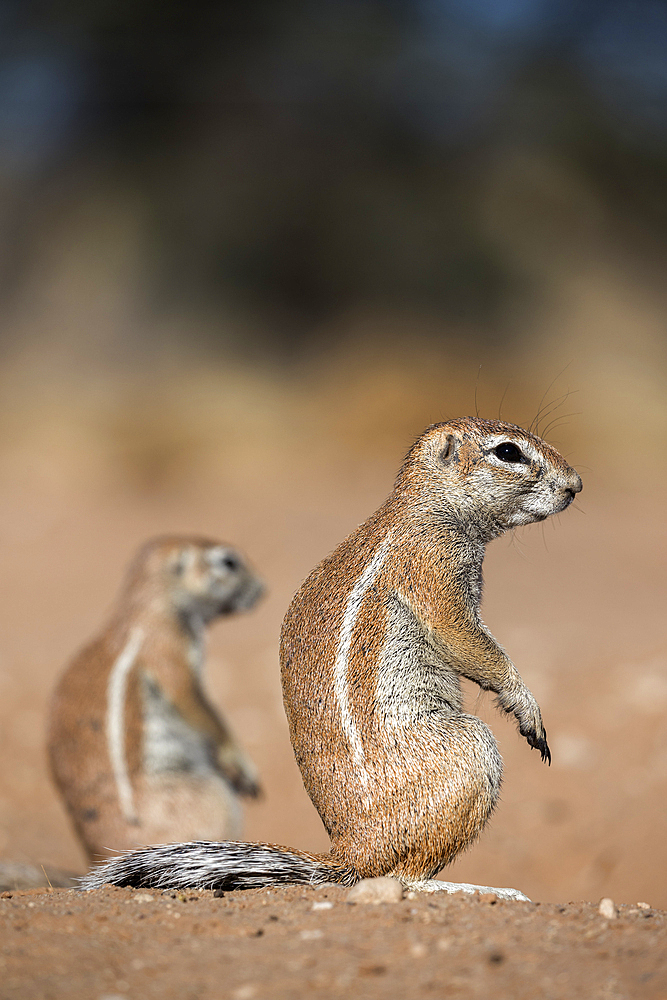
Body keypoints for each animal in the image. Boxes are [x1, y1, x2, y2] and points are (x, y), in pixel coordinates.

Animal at [47, 536, 264, 864]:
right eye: (229, 562)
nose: (263, 590)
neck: (148, 605)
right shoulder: (170, 654)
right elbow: (201, 710)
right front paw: (244, 769)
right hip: (213, 796)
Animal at [83, 418, 580, 896]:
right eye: (508, 452)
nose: (575, 485)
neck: (427, 507)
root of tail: (351, 852)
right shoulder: (436, 570)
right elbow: (465, 640)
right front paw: (526, 706)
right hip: (472, 751)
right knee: (404, 877)